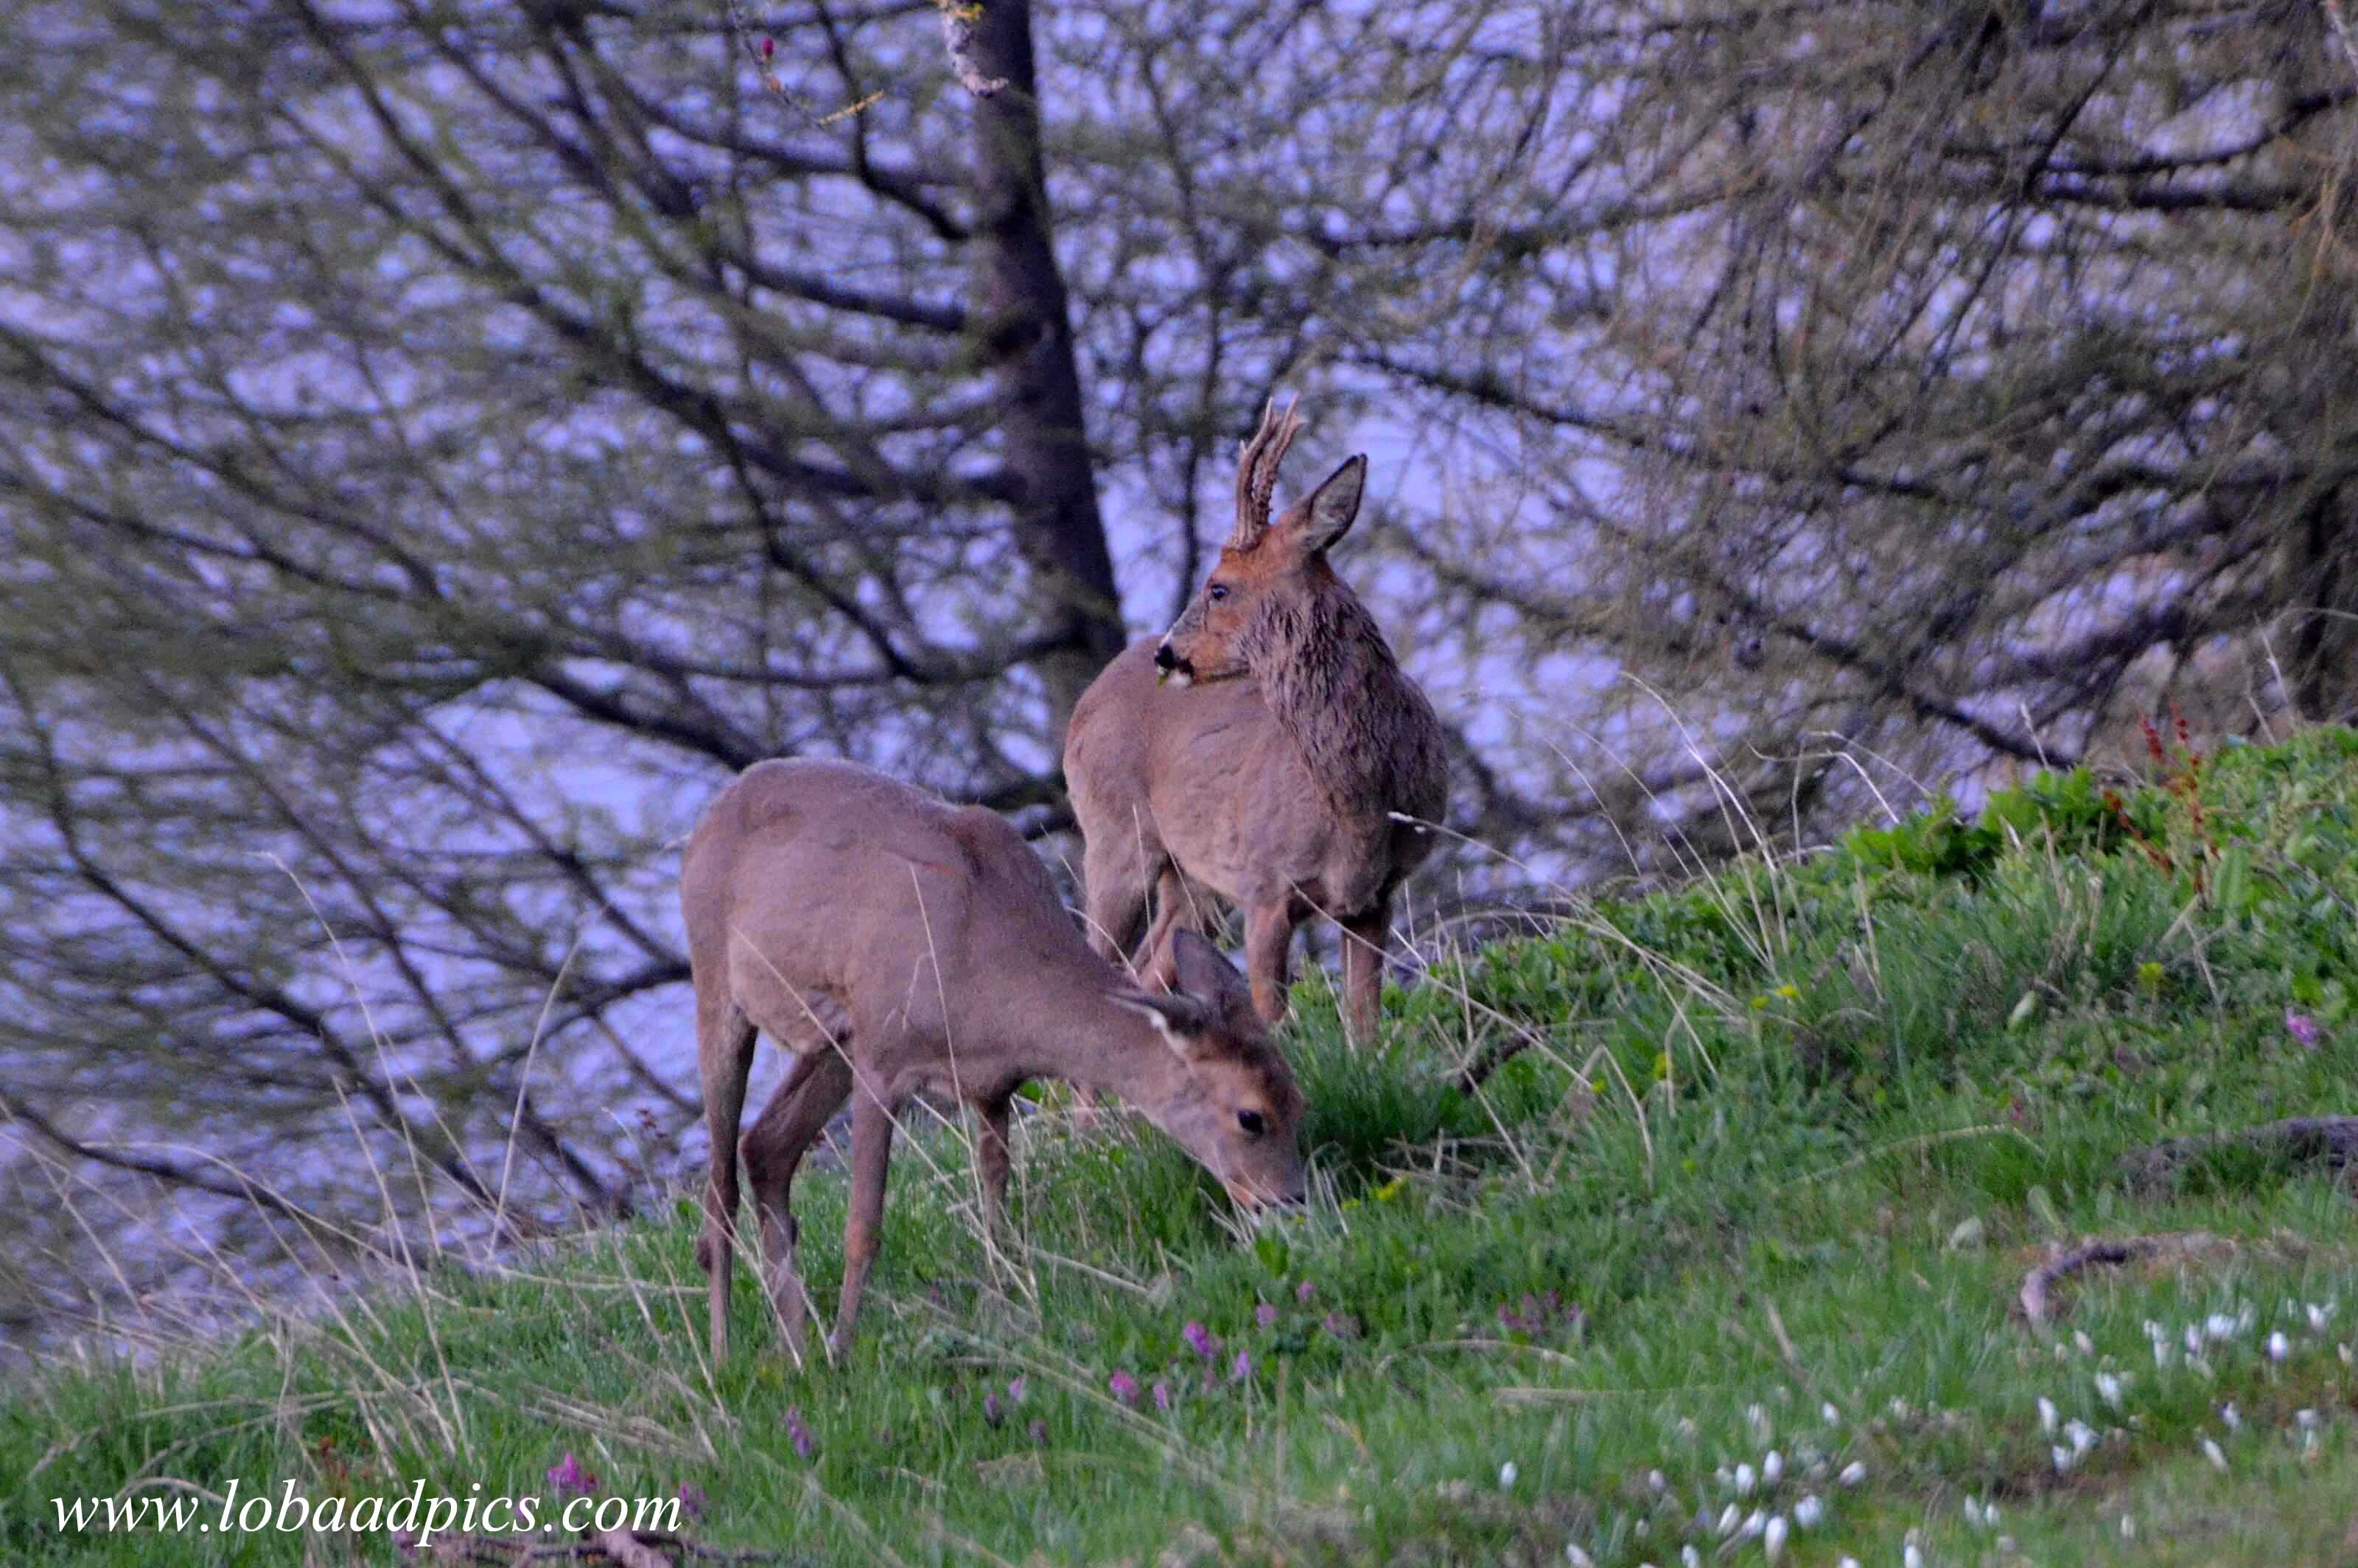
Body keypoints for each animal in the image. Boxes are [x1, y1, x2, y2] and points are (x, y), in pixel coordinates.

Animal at [679, 755, 1311, 1358]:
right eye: (1251, 1117)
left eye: (1298, 1098)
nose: (1290, 1202)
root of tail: (706, 820)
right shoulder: (882, 1056)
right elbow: (864, 1226)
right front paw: (844, 1350)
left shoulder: (990, 1085)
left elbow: (998, 1213)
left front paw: (1004, 1309)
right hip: (718, 983)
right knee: (719, 1191)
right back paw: (726, 1358)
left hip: (831, 1040)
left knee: (766, 1147)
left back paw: (794, 1350)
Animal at [1066, 398, 1433, 1046]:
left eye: (1218, 588)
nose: (1168, 654)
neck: (1359, 796)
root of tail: (1084, 705)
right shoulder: (1265, 886)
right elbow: (1274, 1019)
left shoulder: (1373, 898)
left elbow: (1364, 1026)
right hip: (1114, 836)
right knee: (1105, 960)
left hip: (1192, 882)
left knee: (1146, 972)